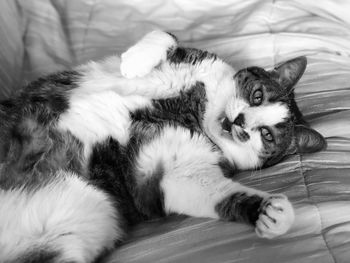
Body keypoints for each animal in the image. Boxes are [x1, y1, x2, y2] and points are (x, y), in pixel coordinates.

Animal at [0, 31, 326, 263]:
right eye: (257, 96)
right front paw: (133, 62)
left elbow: (215, 194)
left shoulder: (177, 173)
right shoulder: (195, 60)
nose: (241, 122)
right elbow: (166, 37)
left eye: (267, 135)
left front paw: (271, 213)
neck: (195, 111)